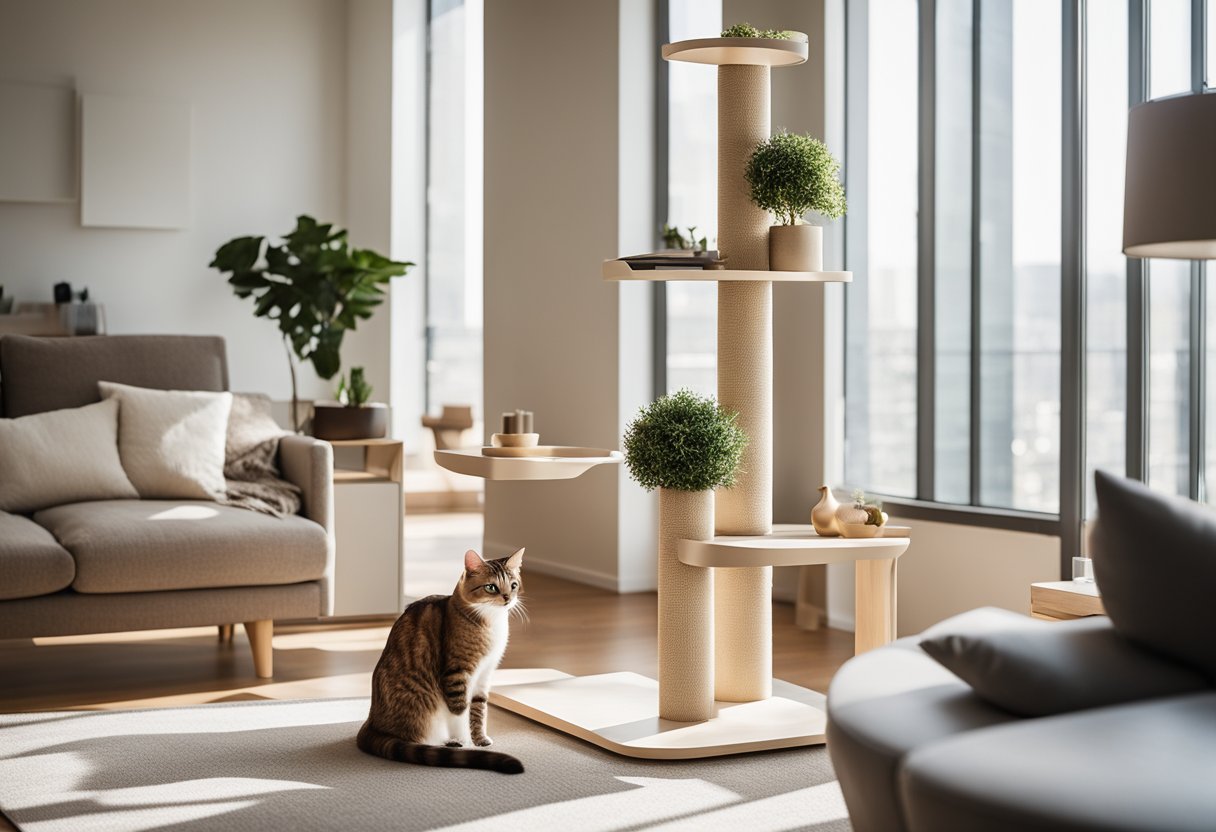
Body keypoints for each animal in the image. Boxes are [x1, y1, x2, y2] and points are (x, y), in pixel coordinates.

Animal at [352, 544, 522, 773]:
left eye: (513, 585)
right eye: (491, 587)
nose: (507, 598)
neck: (492, 622)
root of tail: (371, 722)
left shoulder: (485, 674)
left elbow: (479, 711)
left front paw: (480, 740)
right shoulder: (457, 674)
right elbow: (460, 714)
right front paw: (466, 742)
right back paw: (448, 742)